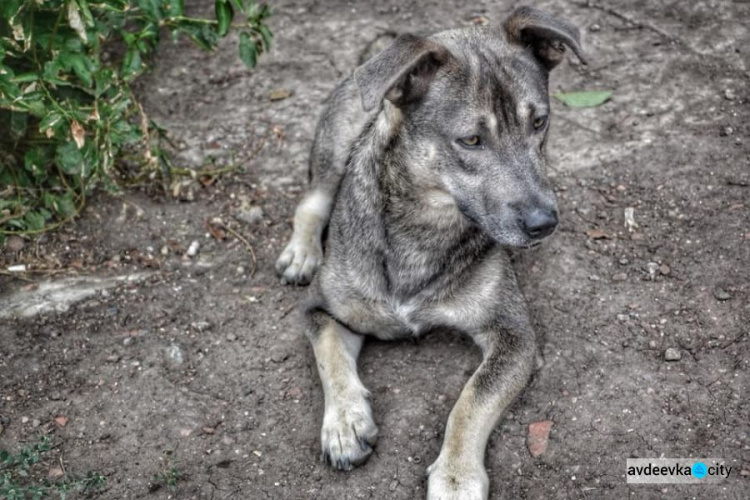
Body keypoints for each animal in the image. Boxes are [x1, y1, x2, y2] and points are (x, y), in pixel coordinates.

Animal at [276, 7, 588, 500]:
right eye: (471, 140)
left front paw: (456, 476)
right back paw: (301, 253)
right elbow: (329, 355)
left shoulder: (514, 336)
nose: (545, 223)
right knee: (311, 200)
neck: (425, 224)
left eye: (539, 123)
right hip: (335, 149)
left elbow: (470, 400)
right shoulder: (321, 310)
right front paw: (344, 422)